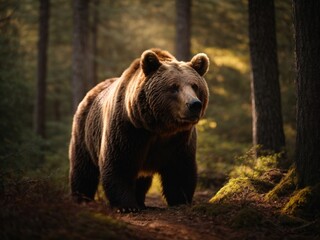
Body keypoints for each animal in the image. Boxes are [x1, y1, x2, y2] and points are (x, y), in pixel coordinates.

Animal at [69, 48, 210, 212]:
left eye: (195, 86)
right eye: (174, 86)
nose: (194, 104)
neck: (158, 128)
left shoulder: (180, 139)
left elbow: (179, 169)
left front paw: (180, 200)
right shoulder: (127, 131)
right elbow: (119, 164)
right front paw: (127, 206)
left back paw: (141, 201)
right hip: (84, 132)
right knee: (83, 169)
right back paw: (82, 198)